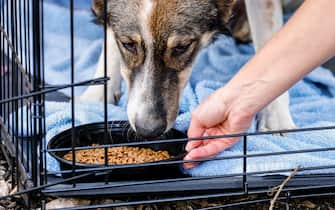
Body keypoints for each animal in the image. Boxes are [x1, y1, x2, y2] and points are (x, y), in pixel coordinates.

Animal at [79, 0, 300, 138]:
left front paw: (276, 117)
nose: (148, 130)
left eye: (182, 47)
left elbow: (272, 44)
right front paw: (98, 92)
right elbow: (109, 33)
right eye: (128, 44)